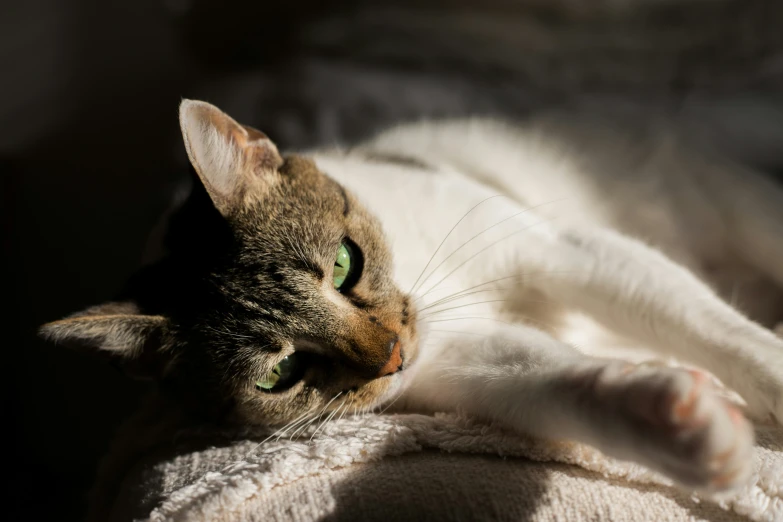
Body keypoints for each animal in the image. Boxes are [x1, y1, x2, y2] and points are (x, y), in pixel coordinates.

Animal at [39, 98, 783, 492]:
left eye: (344, 264)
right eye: (279, 374)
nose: (393, 355)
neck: (427, 280)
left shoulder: (563, 250)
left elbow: (711, 327)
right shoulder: (473, 366)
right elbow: (575, 387)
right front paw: (683, 422)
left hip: (742, 210)